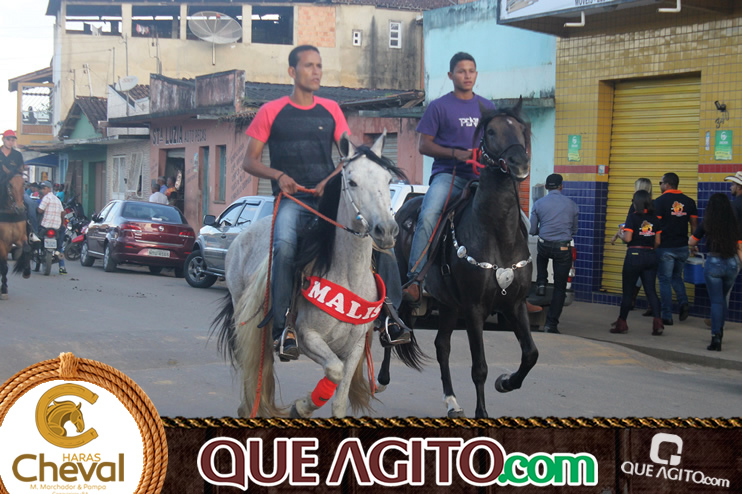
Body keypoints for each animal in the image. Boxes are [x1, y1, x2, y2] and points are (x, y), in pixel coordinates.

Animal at [213, 132, 407, 418]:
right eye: (352, 182)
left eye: (388, 179)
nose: (386, 231)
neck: (347, 274)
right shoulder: (308, 337)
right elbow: (334, 371)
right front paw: (302, 407)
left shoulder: (355, 347)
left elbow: (339, 397)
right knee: (255, 366)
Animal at [388, 99, 536, 418]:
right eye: (491, 132)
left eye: (521, 129)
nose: (520, 163)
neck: (497, 233)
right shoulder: (474, 308)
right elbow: (479, 367)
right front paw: (483, 412)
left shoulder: (515, 304)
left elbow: (531, 354)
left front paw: (506, 382)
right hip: (405, 290)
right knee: (390, 328)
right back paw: (381, 377)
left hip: (447, 304)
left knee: (442, 345)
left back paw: (452, 401)